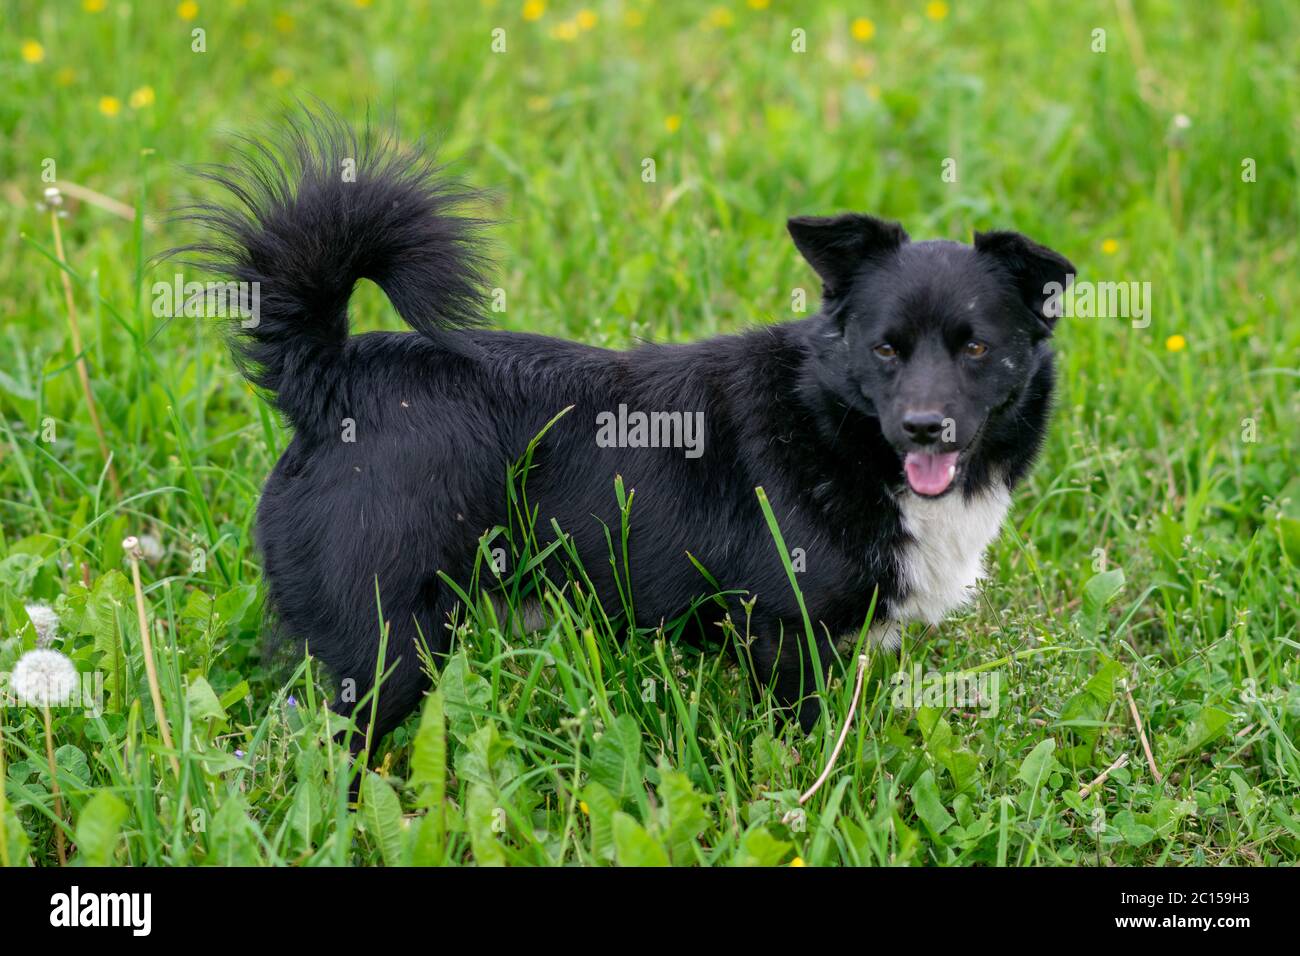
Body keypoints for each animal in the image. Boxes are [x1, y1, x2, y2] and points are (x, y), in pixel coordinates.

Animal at [185, 115, 1076, 749]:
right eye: (886, 348)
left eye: (976, 348)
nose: (925, 427)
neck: (835, 426)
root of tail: (330, 376)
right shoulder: (785, 636)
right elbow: (799, 740)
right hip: (382, 650)